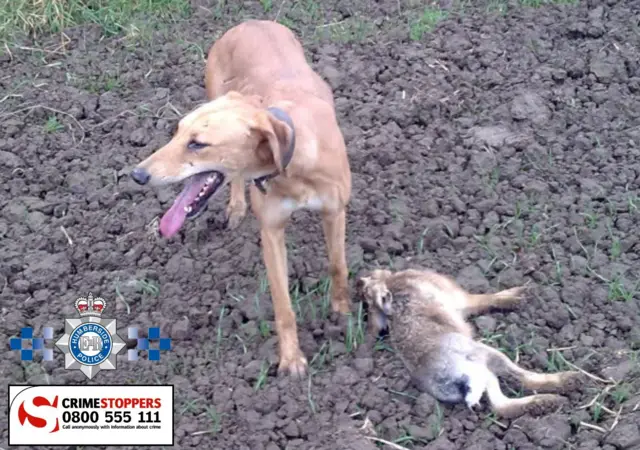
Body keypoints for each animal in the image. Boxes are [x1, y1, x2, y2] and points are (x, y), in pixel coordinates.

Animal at [129, 22, 350, 380]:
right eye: (176, 132)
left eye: (197, 143)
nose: (138, 175)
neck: (289, 162)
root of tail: (250, 22)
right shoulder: (271, 231)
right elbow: (282, 304)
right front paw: (291, 359)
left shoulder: (335, 211)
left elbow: (337, 265)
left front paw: (342, 314)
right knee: (233, 179)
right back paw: (235, 207)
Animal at [358, 268, 584, 418]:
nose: (367, 277)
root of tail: (447, 379)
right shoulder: (460, 299)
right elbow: (484, 299)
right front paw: (516, 297)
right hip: (483, 357)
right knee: (519, 381)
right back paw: (565, 385)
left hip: (483, 374)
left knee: (501, 406)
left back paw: (546, 403)